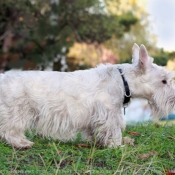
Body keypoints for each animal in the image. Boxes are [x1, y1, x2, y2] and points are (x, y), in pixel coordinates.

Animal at [0, 43, 175, 148]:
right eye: (164, 81)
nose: (173, 100)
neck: (123, 80)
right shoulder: (109, 113)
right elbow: (114, 131)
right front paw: (118, 145)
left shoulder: (97, 116)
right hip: (17, 111)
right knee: (9, 130)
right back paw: (22, 143)